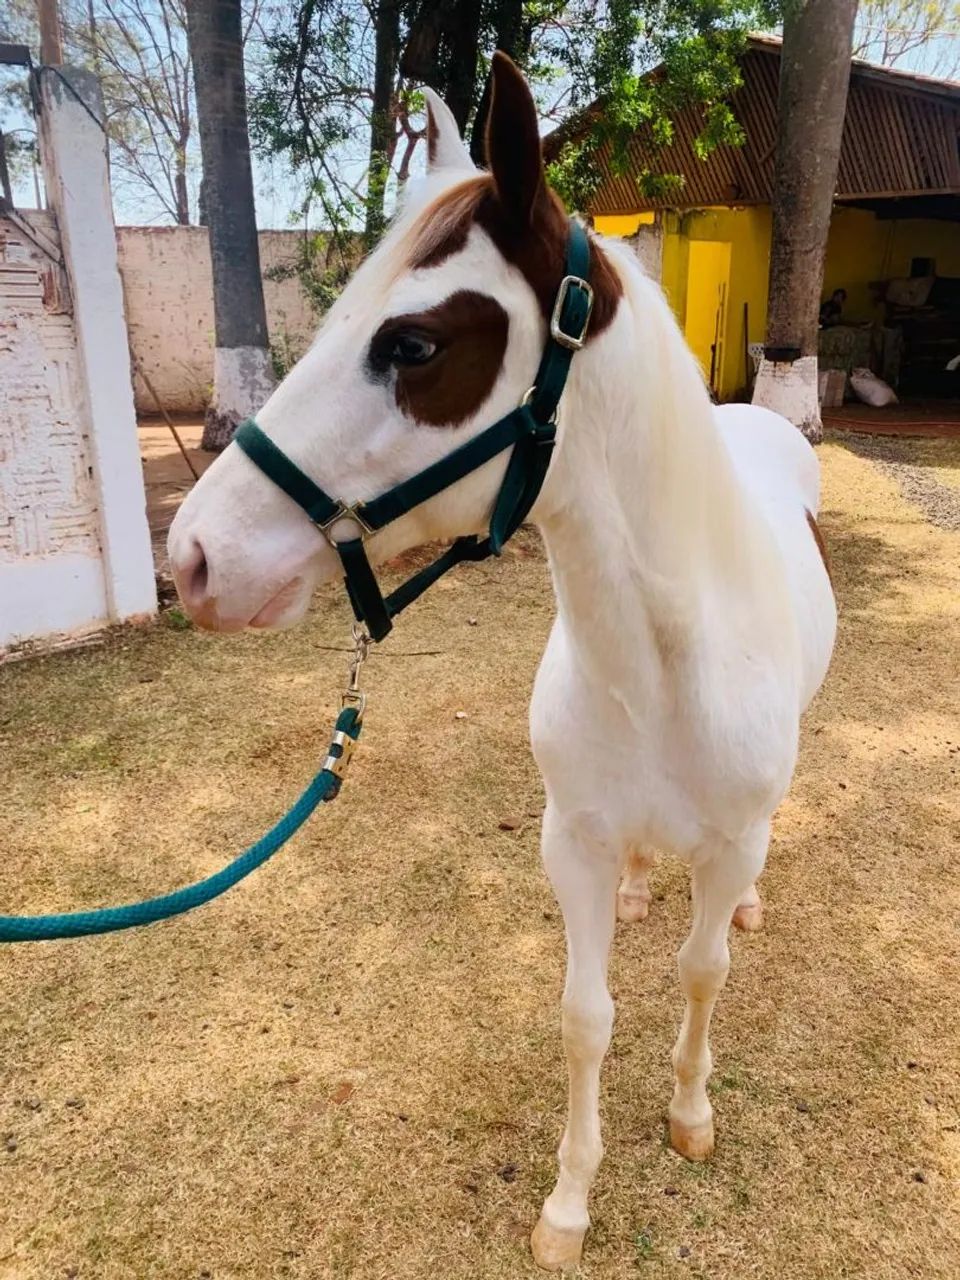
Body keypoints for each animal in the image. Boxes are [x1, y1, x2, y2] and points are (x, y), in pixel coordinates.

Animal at [168, 53, 836, 1272]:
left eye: (414, 345)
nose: (194, 559)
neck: (665, 665)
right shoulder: (569, 840)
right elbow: (585, 1015)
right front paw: (570, 1202)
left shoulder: (727, 842)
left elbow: (701, 974)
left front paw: (690, 1114)